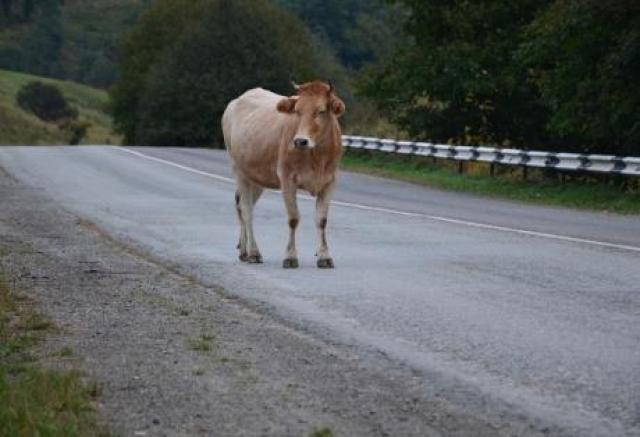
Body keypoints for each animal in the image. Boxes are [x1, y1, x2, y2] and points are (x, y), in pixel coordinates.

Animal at [224, 80, 348, 268]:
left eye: (321, 111)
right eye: (297, 111)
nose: (300, 141)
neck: (316, 156)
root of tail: (237, 100)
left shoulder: (329, 181)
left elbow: (321, 220)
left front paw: (324, 257)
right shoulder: (287, 178)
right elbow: (293, 218)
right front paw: (290, 257)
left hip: (257, 177)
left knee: (244, 207)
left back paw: (244, 251)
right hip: (239, 170)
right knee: (246, 210)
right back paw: (253, 252)